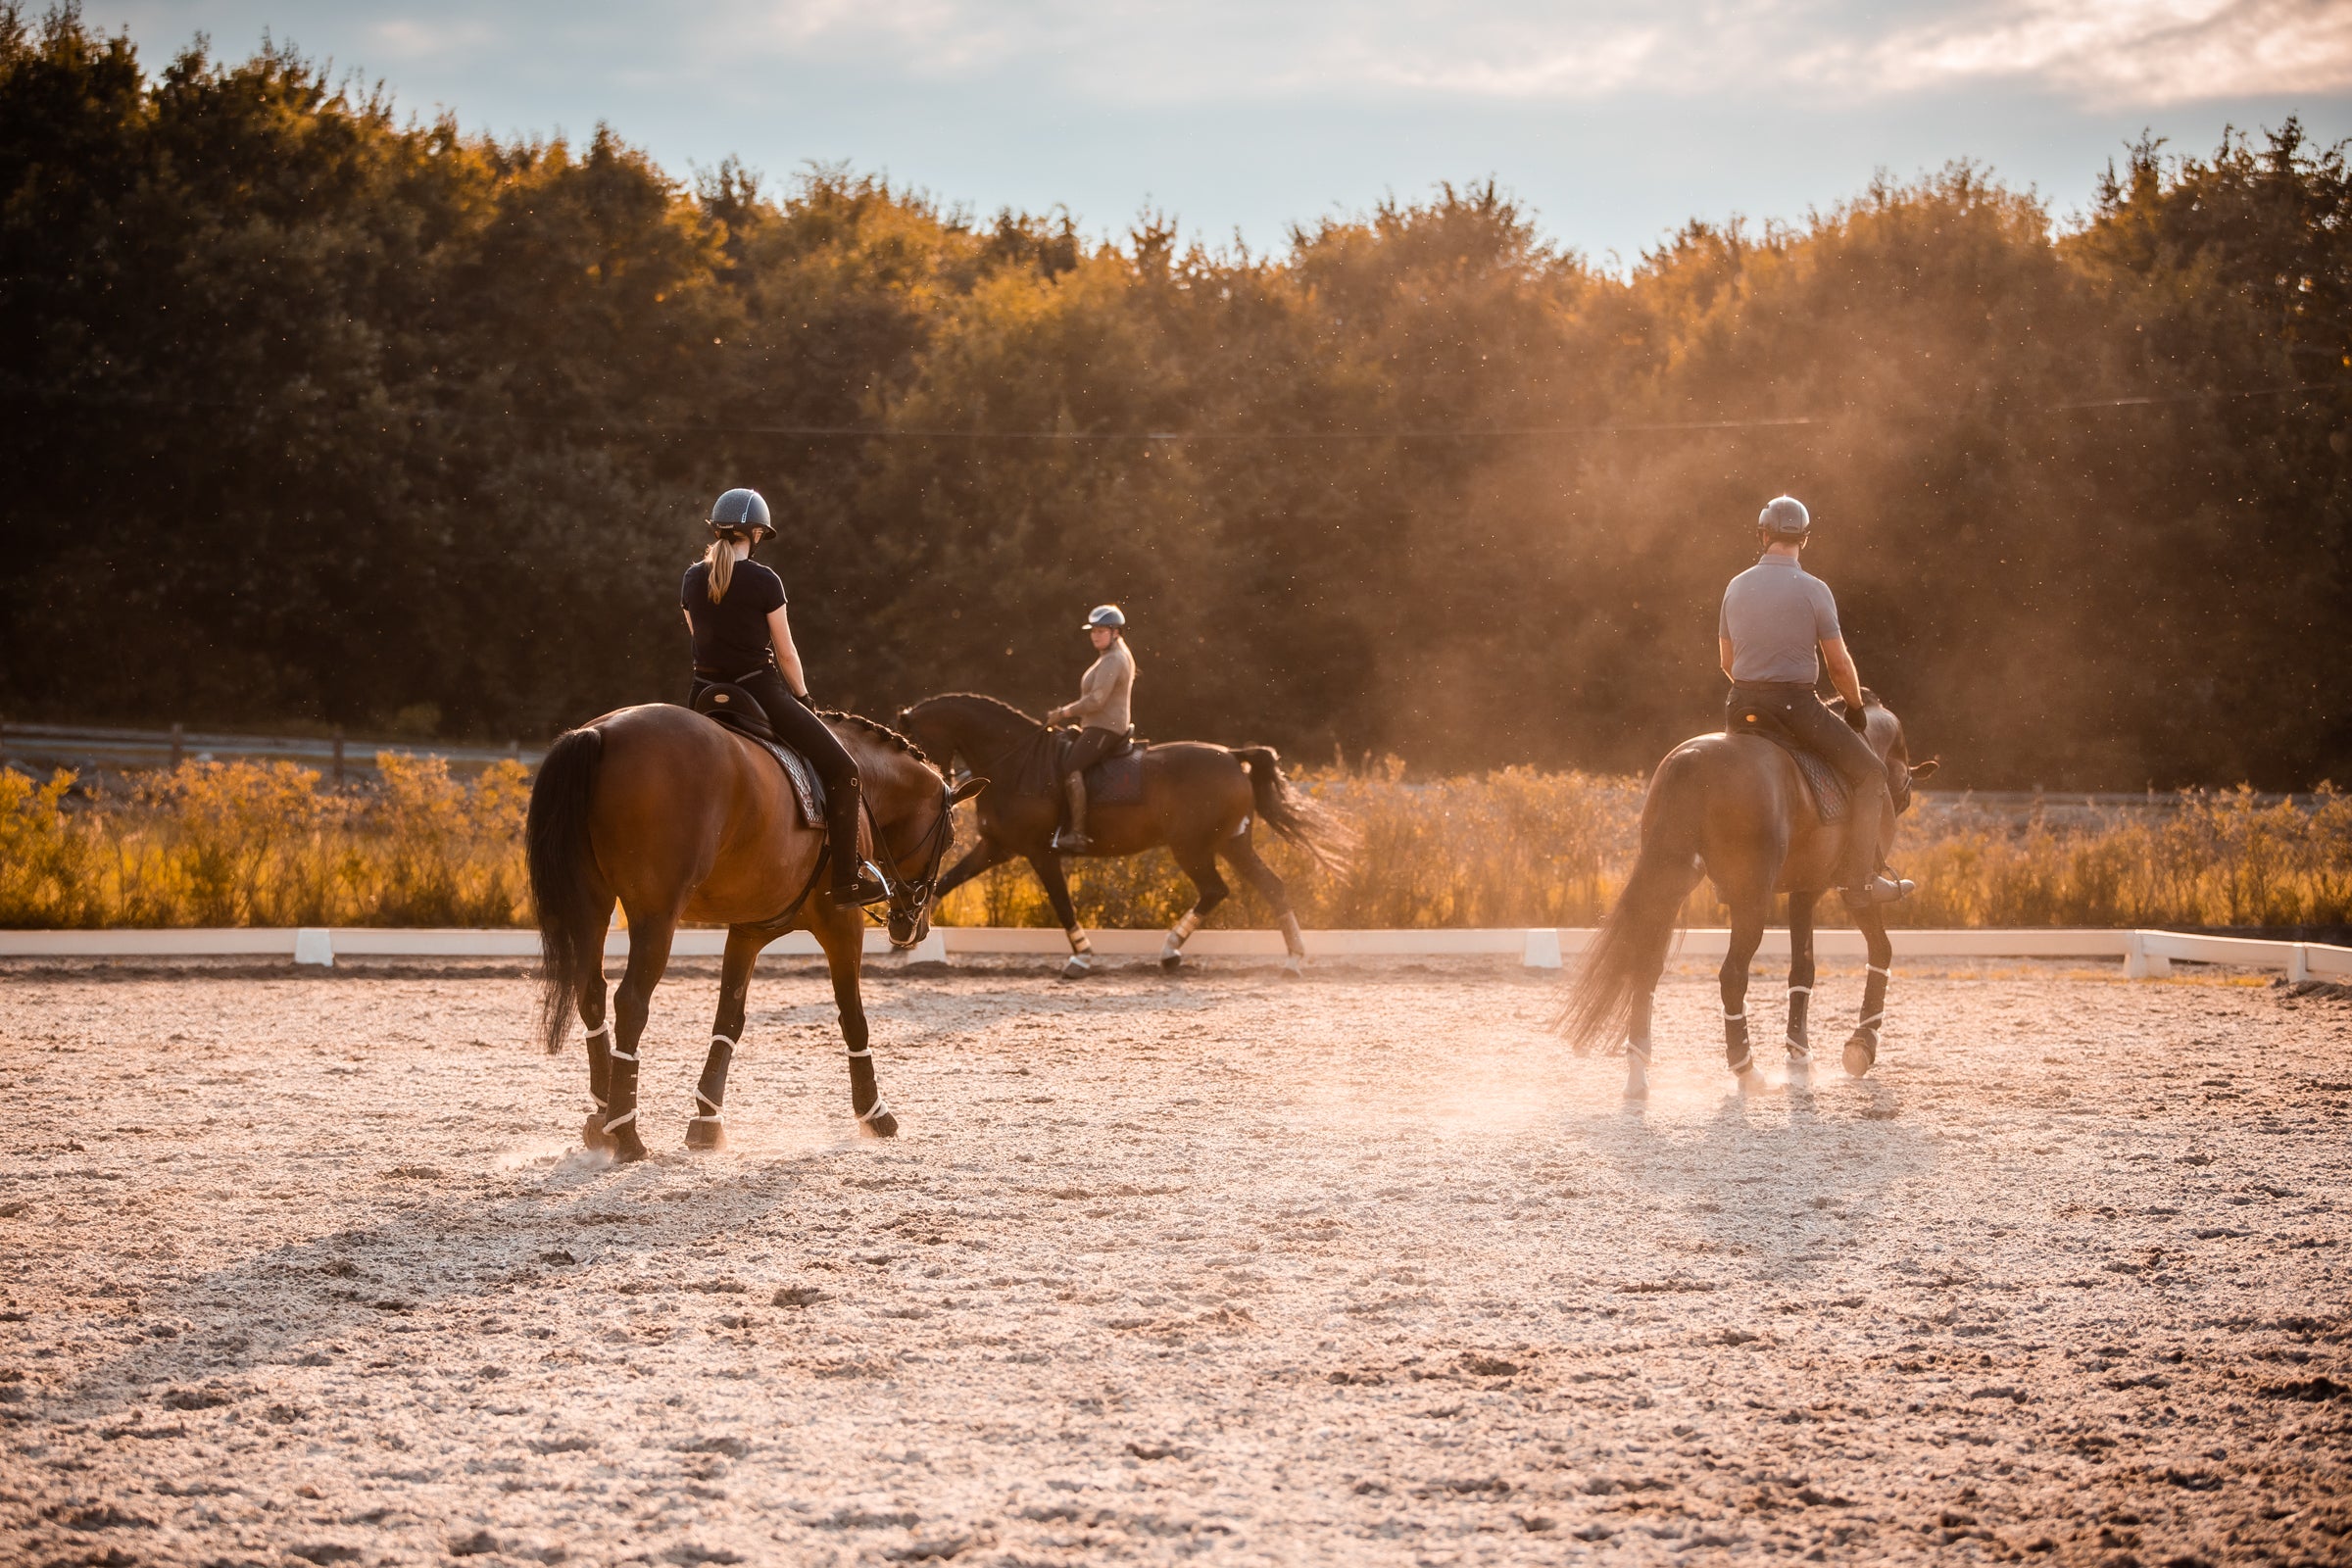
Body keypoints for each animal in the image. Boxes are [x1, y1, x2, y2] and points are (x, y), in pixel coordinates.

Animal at [526, 703, 983, 1161]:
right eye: (950, 839)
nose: (914, 928)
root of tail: (601, 731)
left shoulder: (749, 930)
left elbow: (729, 1019)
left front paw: (707, 1121)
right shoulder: (842, 923)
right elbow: (853, 1016)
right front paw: (875, 1113)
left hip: (592, 906)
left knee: (592, 993)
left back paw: (602, 1118)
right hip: (656, 915)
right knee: (631, 1002)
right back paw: (626, 1133)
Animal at [894, 693, 1355, 978]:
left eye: (913, 745)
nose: (934, 791)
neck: (1016, 763)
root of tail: (1231, 755)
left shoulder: (1040, 853)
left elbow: (1062, 904)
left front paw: (1081, 959)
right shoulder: (996, 847)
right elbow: (945, 883)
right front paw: (909, 941)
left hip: (1193, 847)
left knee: (1217, 889)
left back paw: (1177, 951)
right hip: (1230, 843)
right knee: (1267, 887)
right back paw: (1286, 960)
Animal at [1556, 692, 1938, 1098]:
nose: (1901, 800)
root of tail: (1691, 760)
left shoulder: (1804, 889)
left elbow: (1803, 969)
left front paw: (1800, 1055)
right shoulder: (1848, 888)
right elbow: (1880, 951)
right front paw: (1862, 1045)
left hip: (1669, 884)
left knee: (1646, 968)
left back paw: (1638, 1071)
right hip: (1750, 899)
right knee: (1732, 975)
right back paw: (1746, 1068)